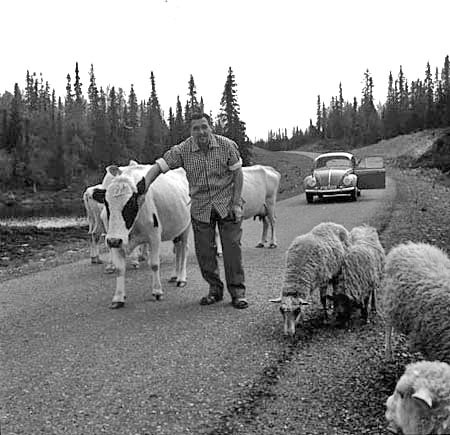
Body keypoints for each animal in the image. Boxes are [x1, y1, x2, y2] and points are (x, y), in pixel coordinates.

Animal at [91, 164, 190, 310]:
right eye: (107, 204)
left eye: (131, 203)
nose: (113, 241)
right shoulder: (116, 239)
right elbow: (120, 269)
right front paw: (118, 297)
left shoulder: (154, 237)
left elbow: (154, 264)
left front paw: (157, 291)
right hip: (176, 229)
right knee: (177, 249)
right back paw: (174, 275)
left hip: (186, 226)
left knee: (183, 250)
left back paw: (181, 278)